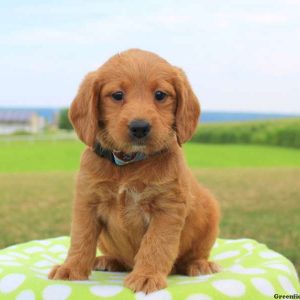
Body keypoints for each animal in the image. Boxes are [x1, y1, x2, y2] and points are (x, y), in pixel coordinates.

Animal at [48, 48, 219, 292]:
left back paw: (198, 264)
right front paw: (71, 268)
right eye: (117, 95)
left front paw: (146, 275)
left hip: (210, 213)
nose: (140, 127)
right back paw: (108, 260)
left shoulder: (167, 209)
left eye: (160, 95)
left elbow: (156, 244)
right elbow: (81, 238)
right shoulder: (87, 203)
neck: (127, 164)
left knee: (195, 253)